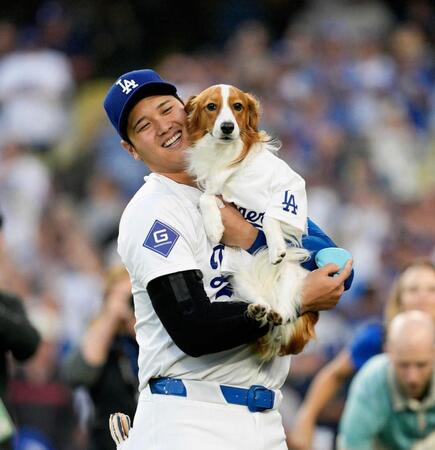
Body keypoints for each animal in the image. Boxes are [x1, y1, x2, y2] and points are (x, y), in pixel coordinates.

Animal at [186, 83, 318, 358]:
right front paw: (214, 227)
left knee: (285, 305)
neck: (225, 155)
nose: (227, 127)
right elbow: (205, 197)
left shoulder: (290, 191)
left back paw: (278, 310)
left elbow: (270, 216)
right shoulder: (215, 189)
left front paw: (277, 248)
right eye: (211, 106)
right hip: (242, 280)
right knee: (262, 304)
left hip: (293, 273)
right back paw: (258, 309)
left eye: (238, 106)